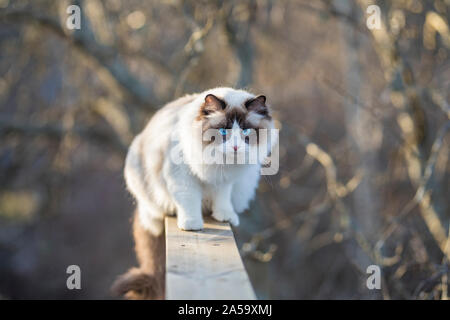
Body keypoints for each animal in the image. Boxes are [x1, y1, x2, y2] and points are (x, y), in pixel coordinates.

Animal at [111, 86, 274, 298]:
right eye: (223, 131)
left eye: (246, 130)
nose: (235, 147)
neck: (221, 163)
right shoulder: (183, 177)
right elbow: (189, 201)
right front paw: (192, 225)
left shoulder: (224, 181)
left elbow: (222, 199)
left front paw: (223, 217)